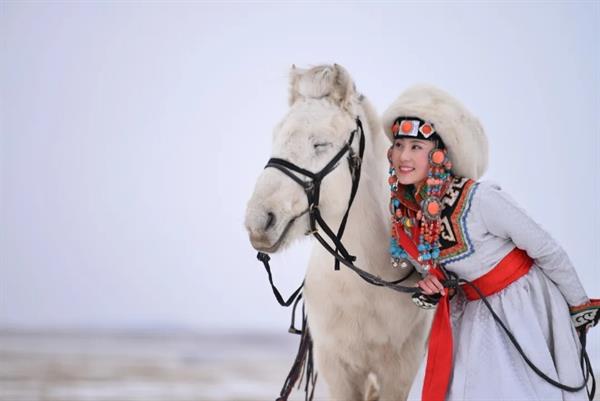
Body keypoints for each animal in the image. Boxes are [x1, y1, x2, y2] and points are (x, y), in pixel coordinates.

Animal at [245, 64, 432, 400]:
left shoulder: (400, 371)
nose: (258, 221)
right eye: (276, 137)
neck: (364, 285)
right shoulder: (336, 368)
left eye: (320, 144)